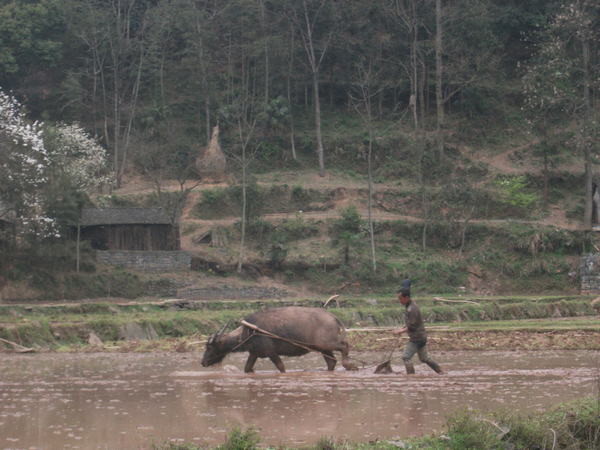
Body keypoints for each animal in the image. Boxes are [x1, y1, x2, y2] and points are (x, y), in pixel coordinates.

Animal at [202, 306, 358, 372]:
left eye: (209, 347)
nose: (202, 362)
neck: (249, 331)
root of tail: (333, 316)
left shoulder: (271, 352)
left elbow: (281, 367)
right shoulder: (254, 353)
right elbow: (247, 368)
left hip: (326, 344)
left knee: (345, 346)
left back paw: (348, 365)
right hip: (322, 348)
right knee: (331, 362)